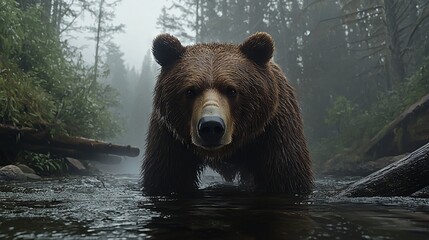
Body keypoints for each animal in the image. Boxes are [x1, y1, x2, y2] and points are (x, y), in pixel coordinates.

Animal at [142, 32, 312, 195]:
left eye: (231, 90)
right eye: (190, 91)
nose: (211, 126)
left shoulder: (273, 132)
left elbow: (285, 176)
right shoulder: (170, 137)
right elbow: (167, 176)